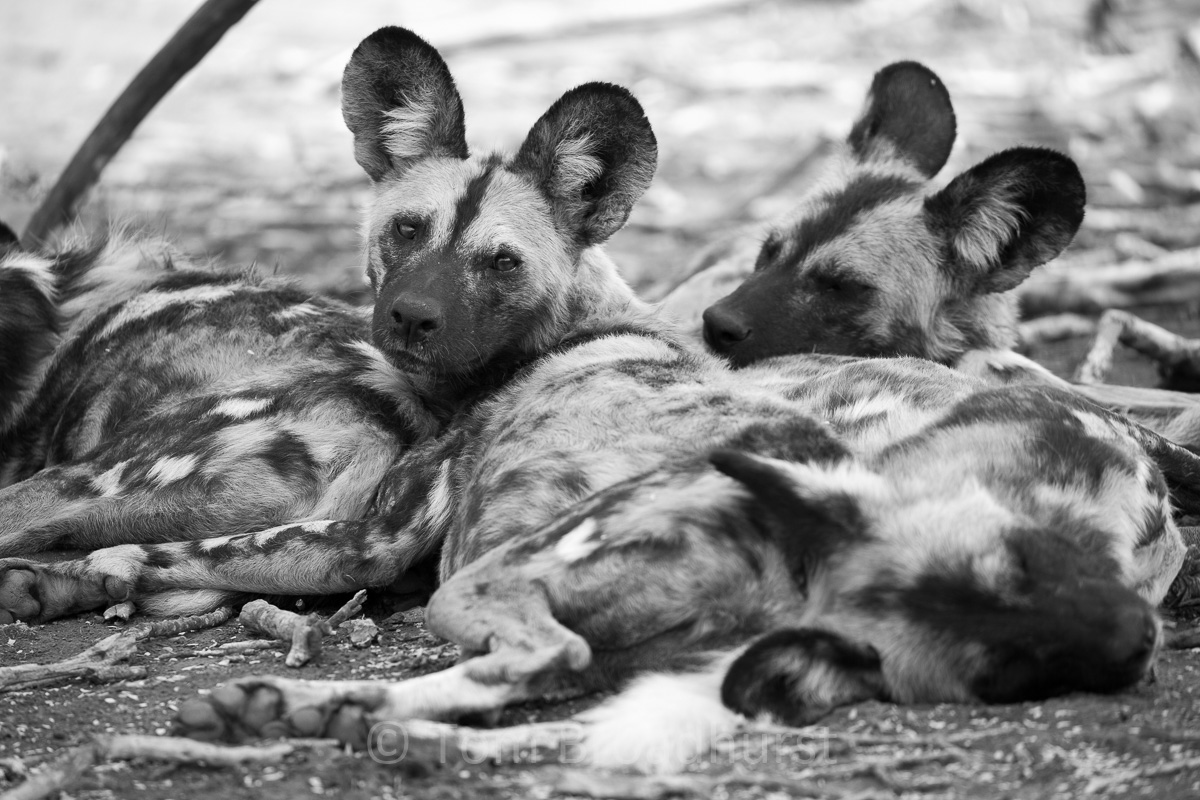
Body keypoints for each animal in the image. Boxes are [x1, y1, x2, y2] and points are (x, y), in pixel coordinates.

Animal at [0, 28, 1171, 768]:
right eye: (406, 233)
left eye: (499, 263)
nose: (406, 321)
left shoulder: (357, 540)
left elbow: (150, 550)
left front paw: (75, 581)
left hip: (502, 572)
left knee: (534, 655)